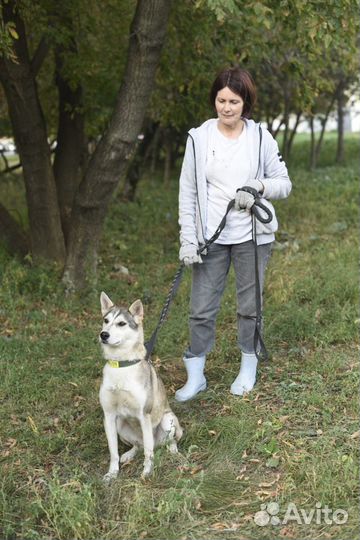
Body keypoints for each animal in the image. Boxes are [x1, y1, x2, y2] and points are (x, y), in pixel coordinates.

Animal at [98, 292, 183, 480]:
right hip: (120, 424)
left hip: (168, 420)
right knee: (138, 445)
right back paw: (129, 454)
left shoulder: (144, 415)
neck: (121, 365)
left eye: (121, 323)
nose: (103, 334)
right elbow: (113, 452)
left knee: (165, 442)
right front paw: (112, 473)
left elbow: (148, 453)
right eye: (106, 320)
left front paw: (147, 472)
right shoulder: (109, 416)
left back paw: (174, 452)